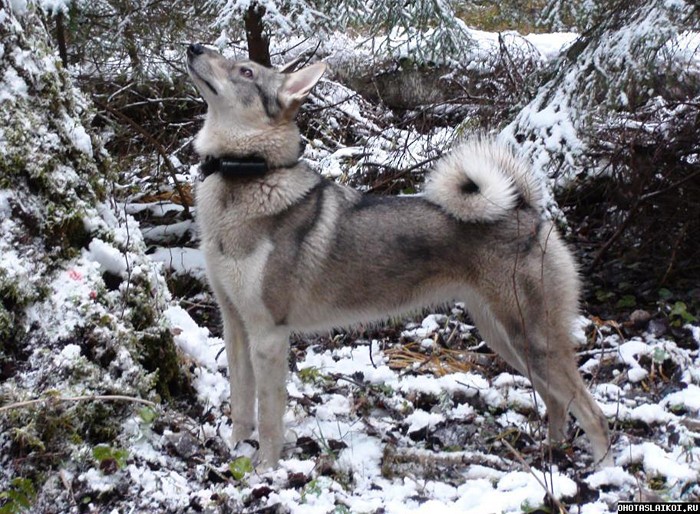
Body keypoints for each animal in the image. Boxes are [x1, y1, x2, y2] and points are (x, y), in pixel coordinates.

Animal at [185, 43, 612, 469]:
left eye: (246, 71)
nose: (194, 47)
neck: (247, 176)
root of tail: (526, 210)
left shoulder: (269, 335)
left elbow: (269, 417)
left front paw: (266, 470)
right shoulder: (236, 327)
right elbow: (241, 404)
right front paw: (236, 453)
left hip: (532, 340)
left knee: (593, 412)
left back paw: (602, 471)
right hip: (505, 338)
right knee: (557, 403)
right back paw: (551, 453)